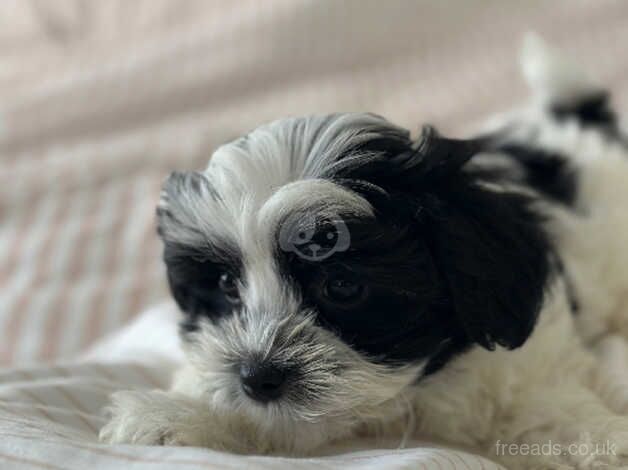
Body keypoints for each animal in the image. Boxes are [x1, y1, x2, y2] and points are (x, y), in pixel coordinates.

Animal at [99, 37, 628, 470]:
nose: (257, 377)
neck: (420, 386)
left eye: (343, 285)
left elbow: (548, 408)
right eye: (228, 285)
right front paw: (174, 416)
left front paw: (599, 441)